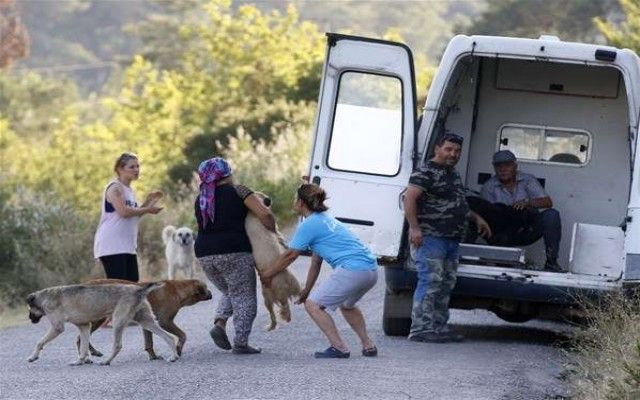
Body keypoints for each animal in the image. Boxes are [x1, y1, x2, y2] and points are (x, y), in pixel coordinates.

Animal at [26, 282, 179, 366]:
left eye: (29, 309)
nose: (30, 319)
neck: (44, 297)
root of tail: (138, 290)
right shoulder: (84, 326)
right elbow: (83, 348)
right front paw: (79, 361)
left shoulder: (57, 327)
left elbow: (39, 342)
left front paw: (33, 357)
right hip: (146, 321)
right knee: (169, 337)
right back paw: (173, 357)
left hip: (118, 321)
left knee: (117, 345)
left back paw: (106, 361)